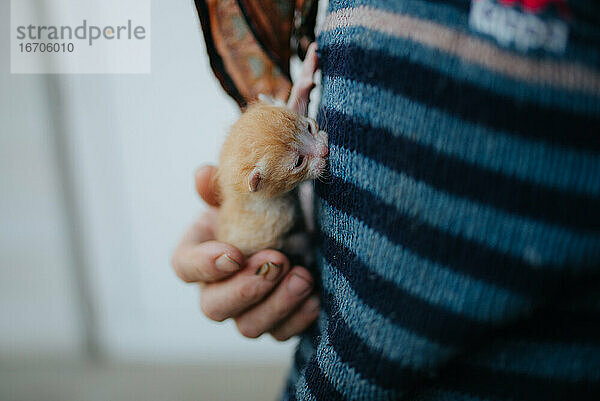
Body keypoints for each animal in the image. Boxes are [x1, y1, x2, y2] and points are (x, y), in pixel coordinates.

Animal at [214, 43, 328, 258]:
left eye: (309, 127)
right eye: (299, 162)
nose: (325, 150)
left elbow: (296, 101)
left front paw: (307, 69)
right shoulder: (271, 225)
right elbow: (289, 244)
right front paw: (313, 240)